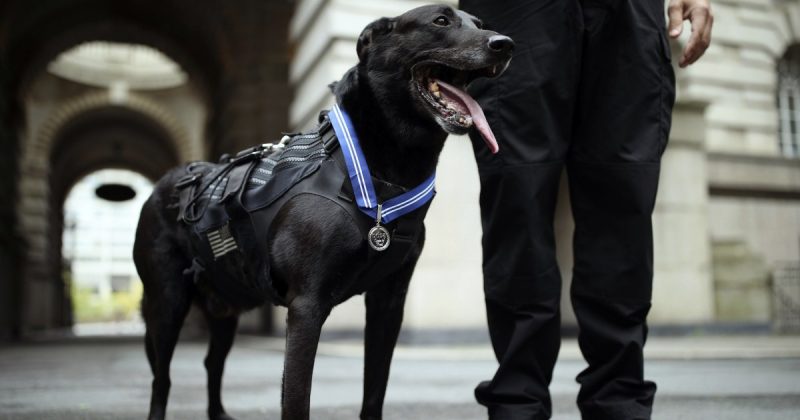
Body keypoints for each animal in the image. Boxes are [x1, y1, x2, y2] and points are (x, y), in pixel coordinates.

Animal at [134, 4, 512, 420]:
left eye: (480, 24)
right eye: (441, 21)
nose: (506, 44)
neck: (377, 174)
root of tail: (165, 182)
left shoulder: (387, 304)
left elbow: (374, 391)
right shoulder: (307, 306)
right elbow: (297, 399)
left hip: (225, 307)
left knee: (211, 363)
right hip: (167, 303)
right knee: (161, 378)